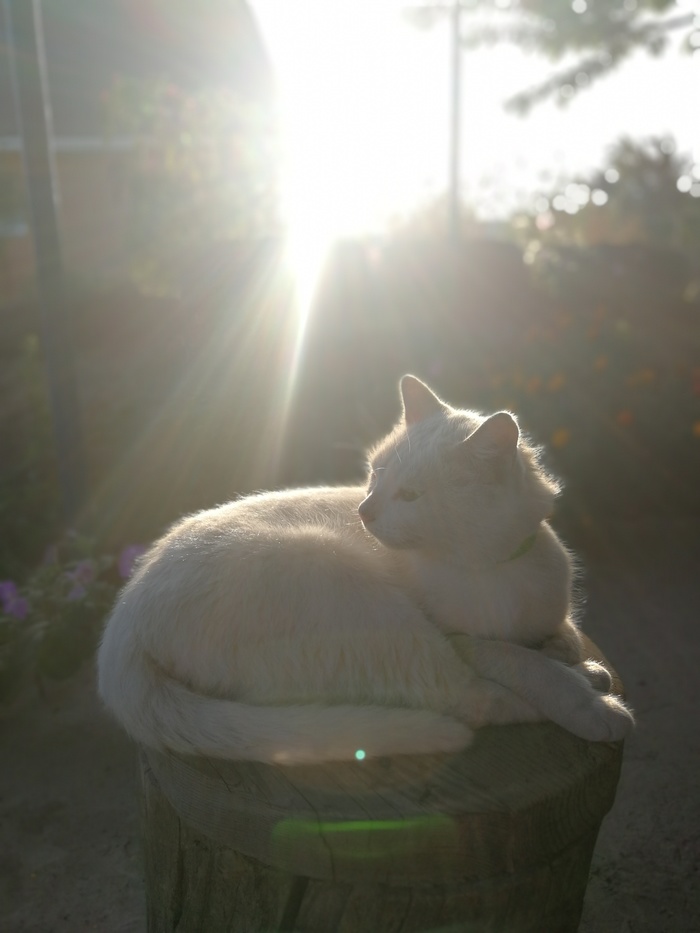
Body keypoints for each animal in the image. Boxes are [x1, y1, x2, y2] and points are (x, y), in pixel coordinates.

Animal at [97, 374, 636, 760]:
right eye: (377, 474)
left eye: (410, 495)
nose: (364, 511)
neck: (493, 568)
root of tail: (122, 622)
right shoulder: (460, 638)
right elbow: (521, 661)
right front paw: (578, 691)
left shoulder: (548, 615)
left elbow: (560, 636)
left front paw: (564, 651)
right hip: (373, 608)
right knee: (466, 700)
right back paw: (595, 695)